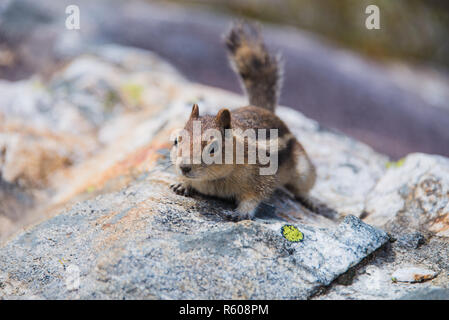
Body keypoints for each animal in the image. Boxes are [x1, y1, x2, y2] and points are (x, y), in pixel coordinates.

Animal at [171, 22, 316, 221]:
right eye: (176, 141)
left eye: (213, 149)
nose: (184, 167)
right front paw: (182, 184)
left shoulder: (261, 176)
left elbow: (254, 198)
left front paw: (241, 212)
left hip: (302, 168)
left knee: (303, 186)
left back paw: (311, 200)